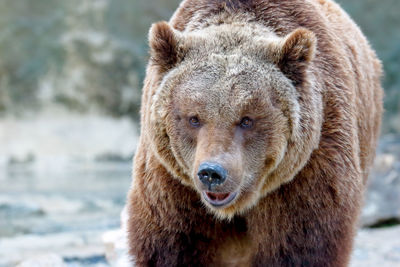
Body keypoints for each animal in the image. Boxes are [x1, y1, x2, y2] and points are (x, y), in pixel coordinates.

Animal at [126, 0, 382, 266]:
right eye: (193, 118)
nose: (212, 173)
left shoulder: (307, 175)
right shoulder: (172, 185)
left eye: (246, 119)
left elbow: (302, 245)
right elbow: (174, 245)